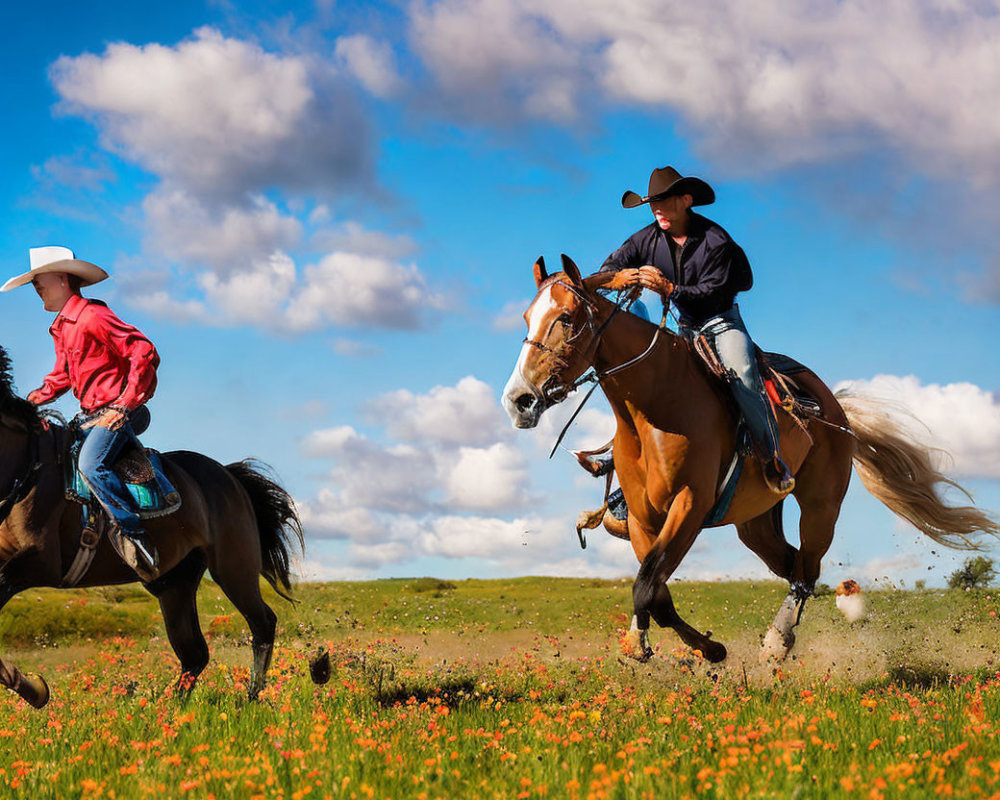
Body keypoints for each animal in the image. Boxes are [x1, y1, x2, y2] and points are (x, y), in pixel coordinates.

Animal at [0, 344, 300, 708]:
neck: (28, 471)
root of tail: (230, 476)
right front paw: (31, 687)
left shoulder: (36, 564)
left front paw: (35, 689)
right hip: (173, 582)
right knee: (194, 653)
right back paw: (172, 713)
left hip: (234, 568)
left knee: (262, 623)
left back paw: (250, 699)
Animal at [504, 256, 996, 664]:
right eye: (527, 317)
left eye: (566, 318)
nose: (518, 401)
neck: (654, 404)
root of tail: (836, 410)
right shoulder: (643, 518)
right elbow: (656, 594)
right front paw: (704, 648)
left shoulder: (689, 505)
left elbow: (647, 584)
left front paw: (651, 645)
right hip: (754, 523)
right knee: (795, 564)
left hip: (821, 506)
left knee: (808, 567)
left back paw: (779, 641)